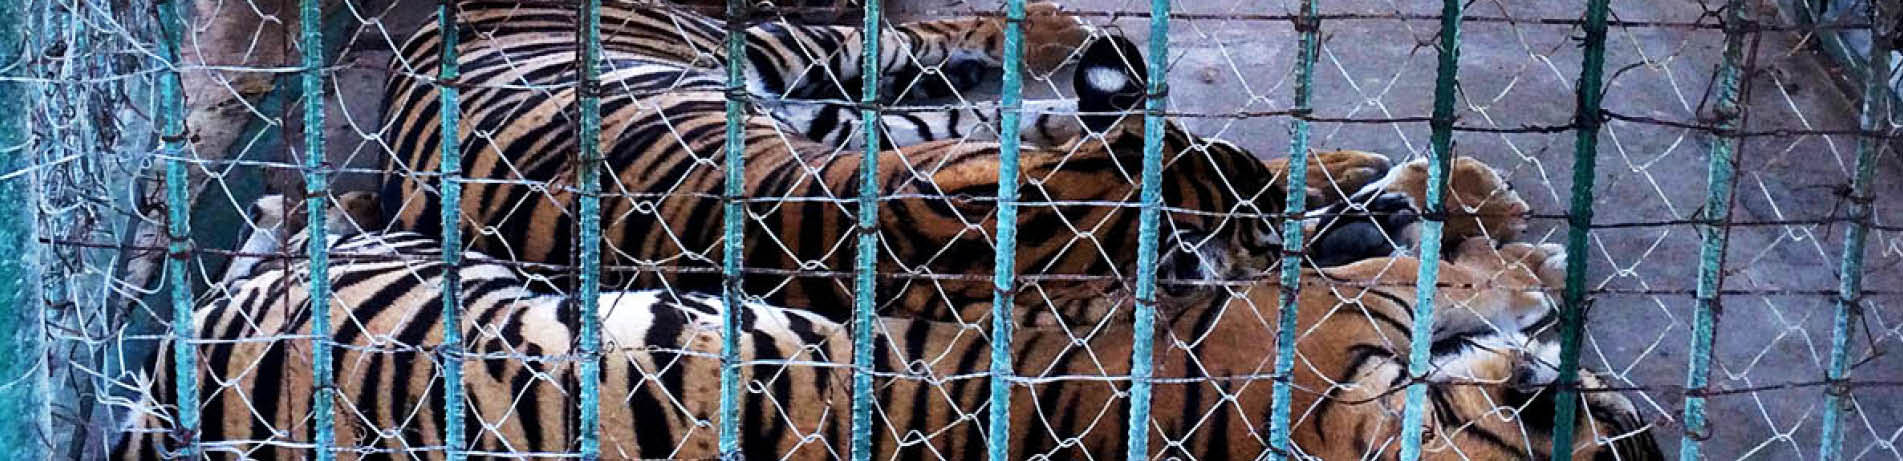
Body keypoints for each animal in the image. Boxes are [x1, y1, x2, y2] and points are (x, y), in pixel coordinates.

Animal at [378, 0, 1392, 323]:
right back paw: (1053, 27)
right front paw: (1342, 191)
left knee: (959, 79)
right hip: (778, 49)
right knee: (911, 36)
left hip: (823, 101)